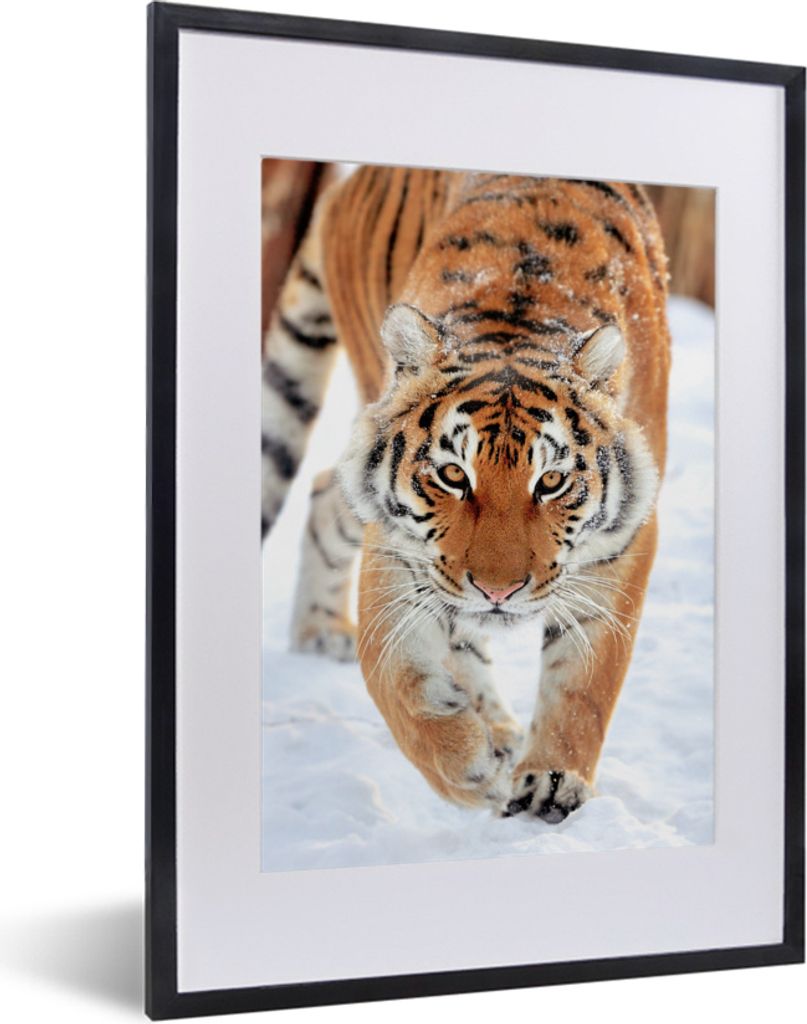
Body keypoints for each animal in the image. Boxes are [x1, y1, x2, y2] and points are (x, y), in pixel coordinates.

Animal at [261, 167, 670, 822]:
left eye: (550, 481)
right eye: (454, 475)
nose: (497, 591)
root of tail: (353, 177)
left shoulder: (625, 538)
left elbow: (585, 678)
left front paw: (553, 781)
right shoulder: (398, 544)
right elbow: (396, 677)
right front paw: (470, 770)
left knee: (325, 491)